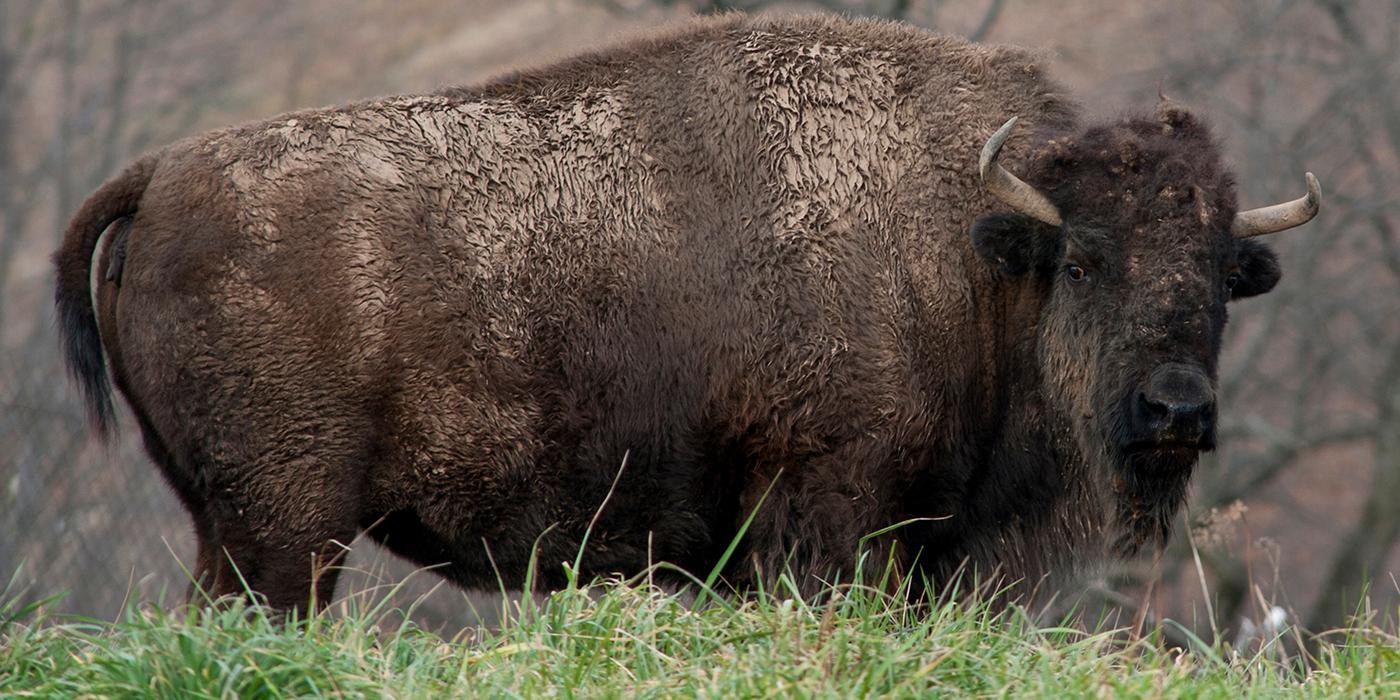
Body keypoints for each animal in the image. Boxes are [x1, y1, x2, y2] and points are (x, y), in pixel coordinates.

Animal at [57, 13, 1321, 610]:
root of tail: (162, 173)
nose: (1174, 408)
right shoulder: (827, 510)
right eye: (1087, 259)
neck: (968, 252)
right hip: (288, 530)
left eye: (1219, 273)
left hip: (232, 524)